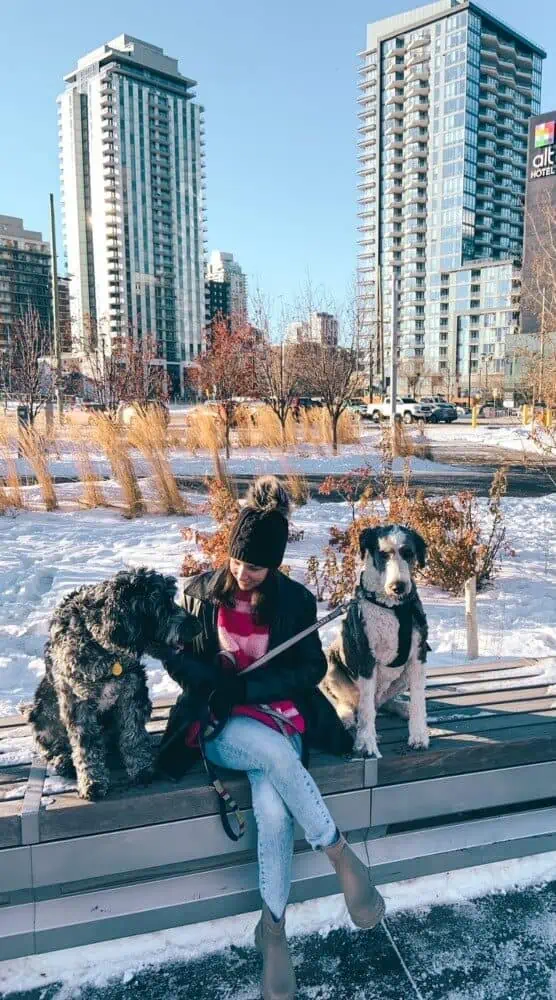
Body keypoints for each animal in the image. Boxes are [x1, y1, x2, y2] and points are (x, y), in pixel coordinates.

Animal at [28, 572, 201, 796]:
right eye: (162, 605)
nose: (197, 625)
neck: (104, 651)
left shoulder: (133, 691)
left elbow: (133, 736)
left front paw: (141, 768)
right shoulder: (78, 703)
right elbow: (86, 748)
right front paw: (92, 781)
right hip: (42, 711)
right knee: (52, 745)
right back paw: (63, 760)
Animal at [322, 524, 430, 756]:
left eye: (408, 553)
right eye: (383, 554)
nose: (399, 586)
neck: (392, 607)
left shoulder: (418, 656)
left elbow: (418, 700)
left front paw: (419, 735)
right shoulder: (366, 657)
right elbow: (366, 710)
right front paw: (366, 742)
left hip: (402, 677)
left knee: (382, 703)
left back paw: (402, 707)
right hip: (330, 664)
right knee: (350, 703)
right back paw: (346, 717)